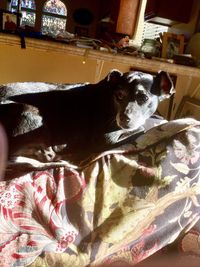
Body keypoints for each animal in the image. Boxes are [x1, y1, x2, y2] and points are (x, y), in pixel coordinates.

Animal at [0, 69, 173, 163]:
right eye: (119, 95)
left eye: (143, 98)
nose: (124, 118)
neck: (109, 99)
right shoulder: (107, 140)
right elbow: (142, 129)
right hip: (30, 112)